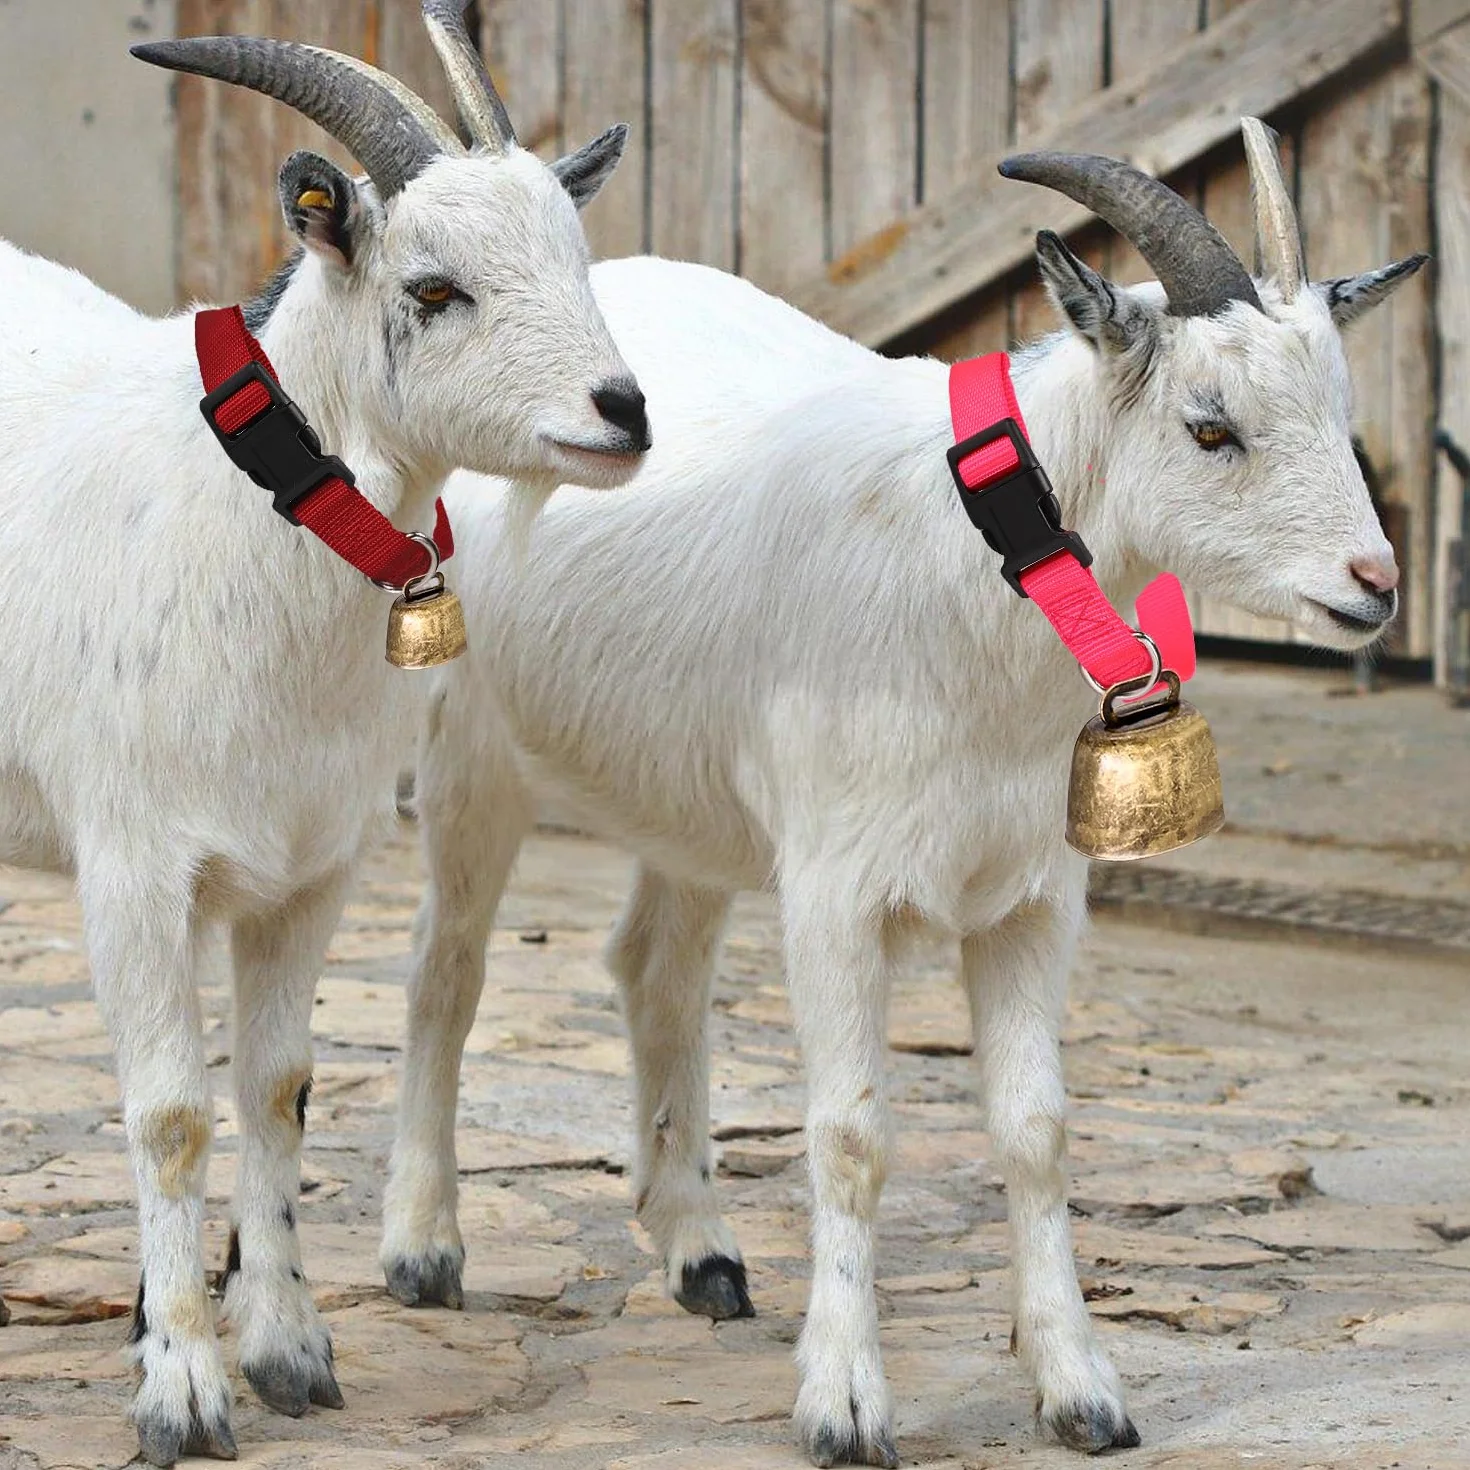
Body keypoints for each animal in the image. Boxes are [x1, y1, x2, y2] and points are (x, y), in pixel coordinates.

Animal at [0, 4, 647, 1463]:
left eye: (577, 258)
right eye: (433, 287)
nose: (622, 411)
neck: (233, 519)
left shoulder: (309, 867)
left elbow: (276, 1087)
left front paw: (288, 1348)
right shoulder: (132, 865)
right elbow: (168, 1111)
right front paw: (182, 1388)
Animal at [383, 122, 1422, 1466]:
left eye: (1341, 413)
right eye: (1210, 428)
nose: (1375, 585)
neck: (970, 562)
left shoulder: (1033, 895)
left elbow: (1036, 1131)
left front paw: (1080, 1386)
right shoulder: (837, 894)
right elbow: (850, 1132)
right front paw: (843, 1403)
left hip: (690, 795)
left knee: (654, 968)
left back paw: (700, 1251)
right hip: (471, 747)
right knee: (446, 967)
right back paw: (424, 1248)